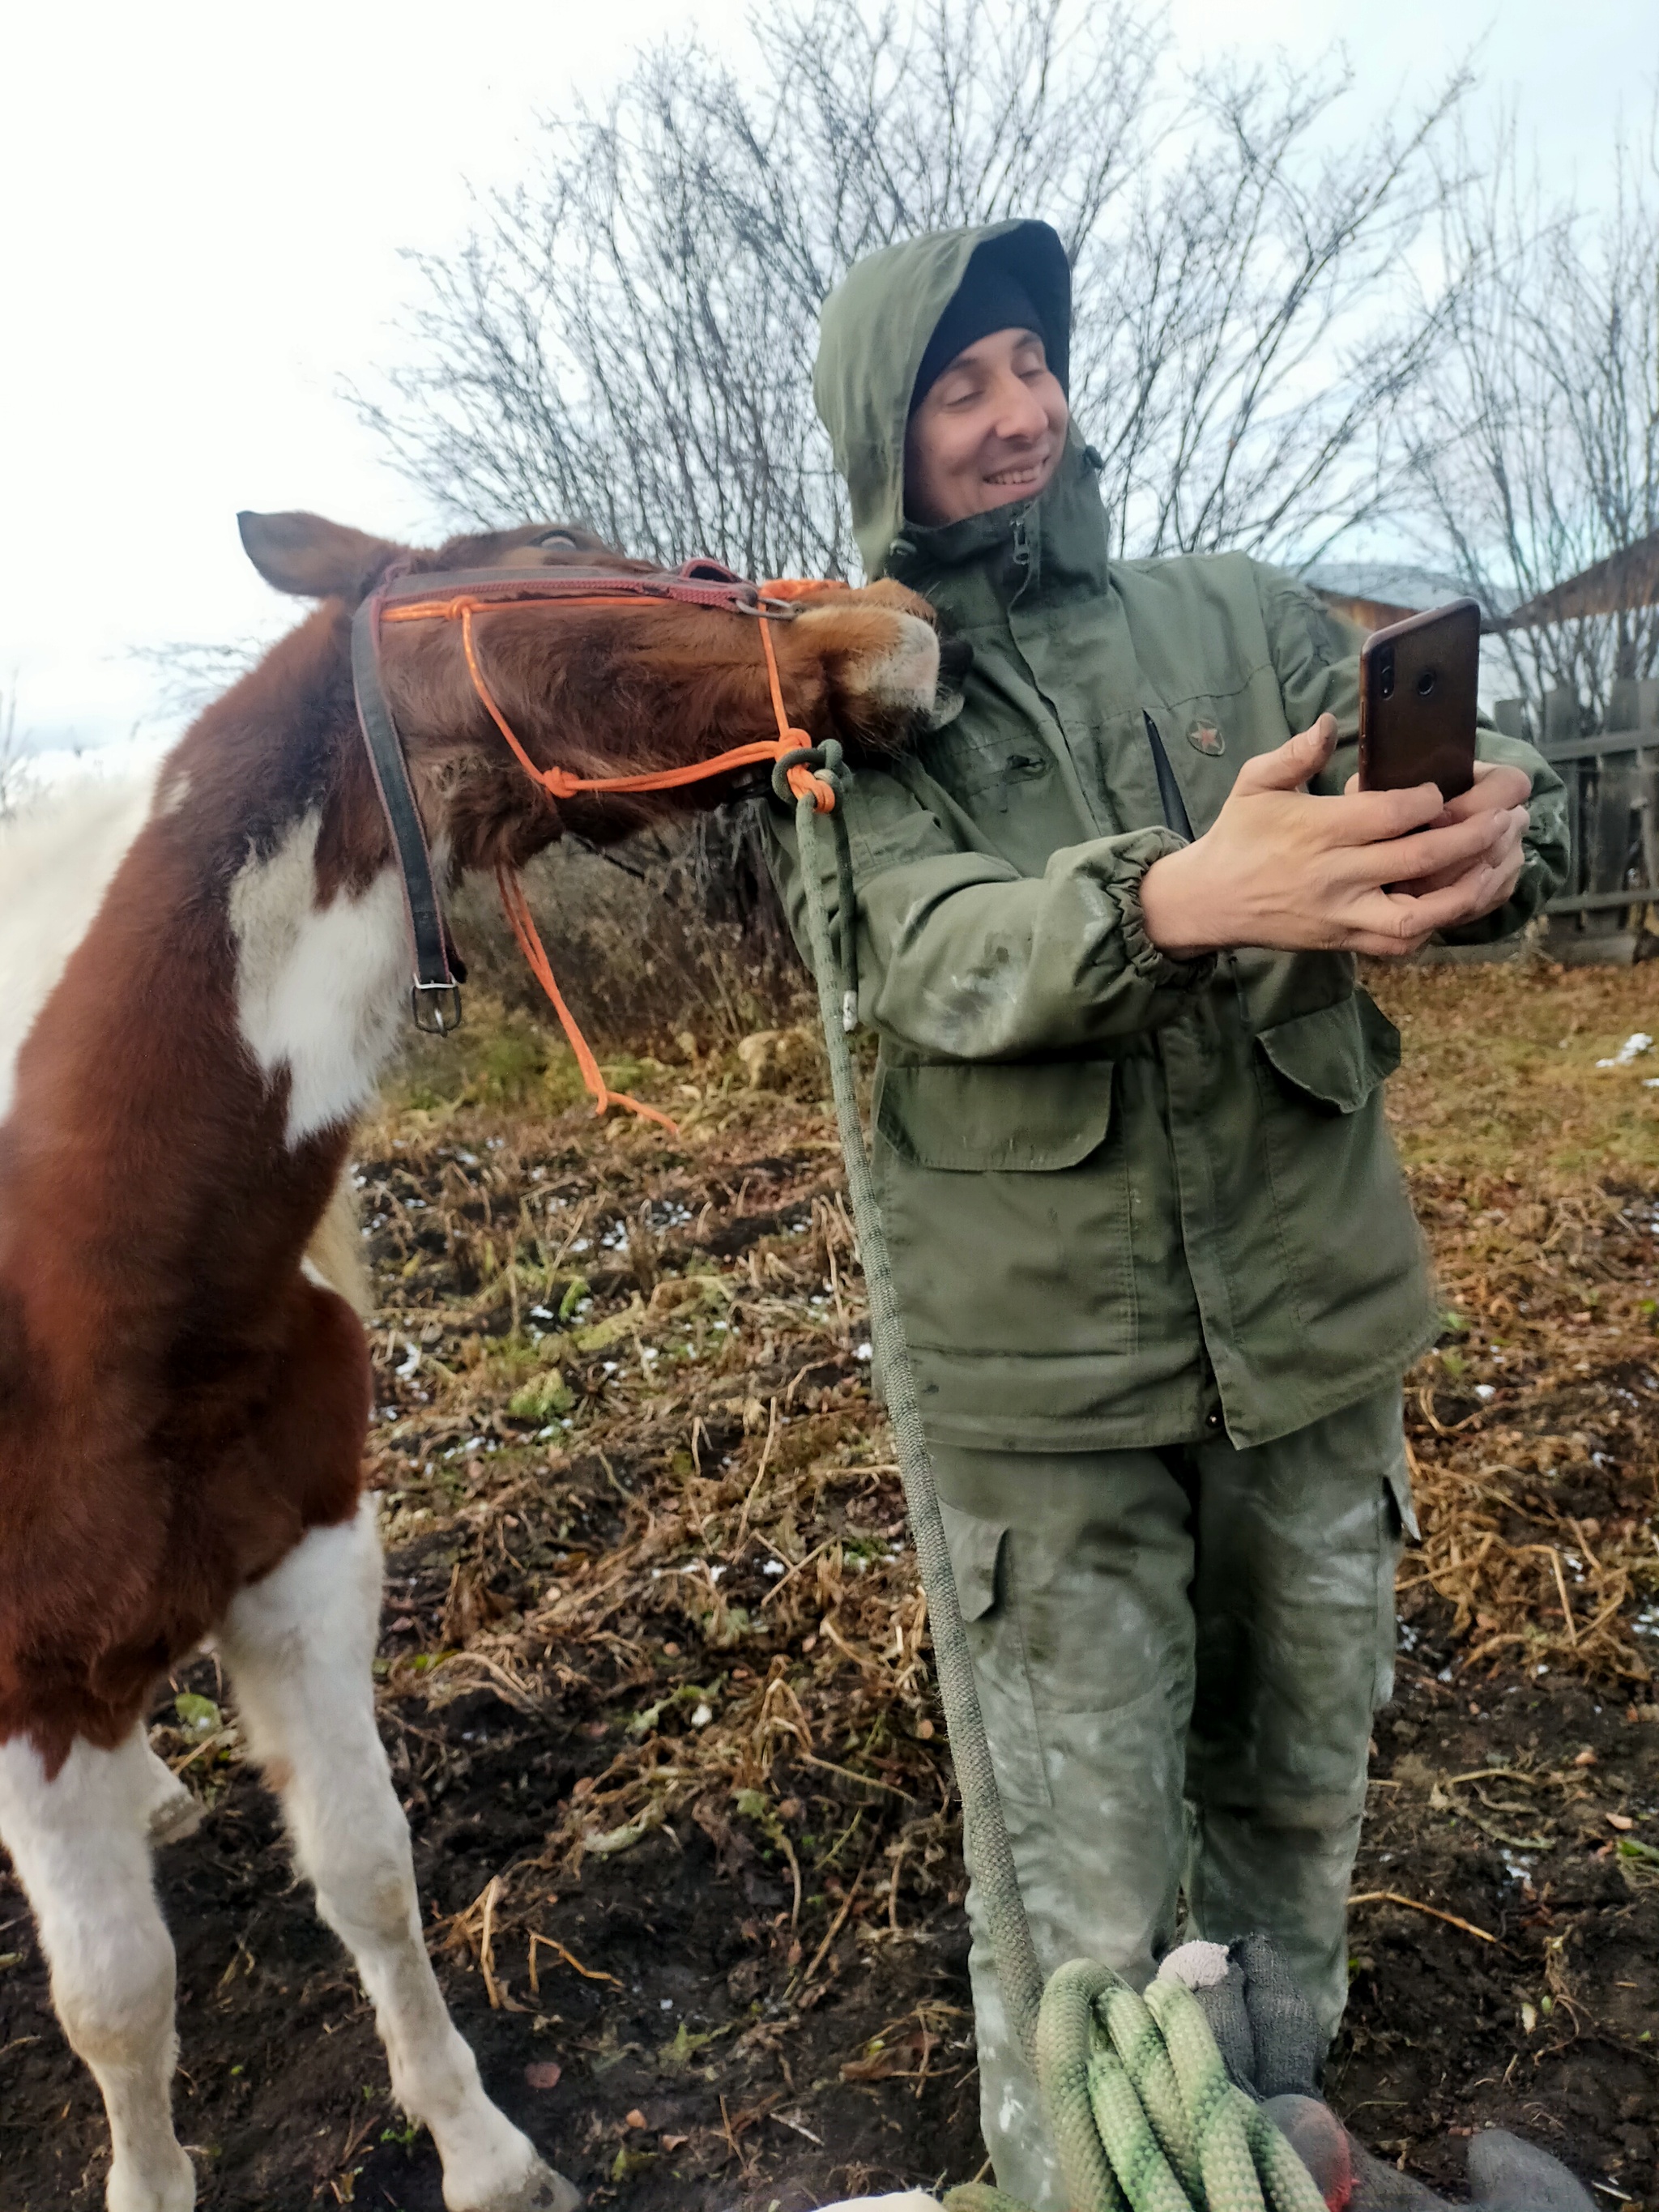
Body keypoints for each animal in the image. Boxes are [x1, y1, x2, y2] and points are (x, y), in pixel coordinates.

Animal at [0, 506, 942, 2212]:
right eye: (562, 552)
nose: (891, 621)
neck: (78, 1247)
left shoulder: (300, 1575)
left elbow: (369, 1877)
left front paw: (483, 2152)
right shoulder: (31, 1689)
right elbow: (115, 1998)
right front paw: (150, 2181)